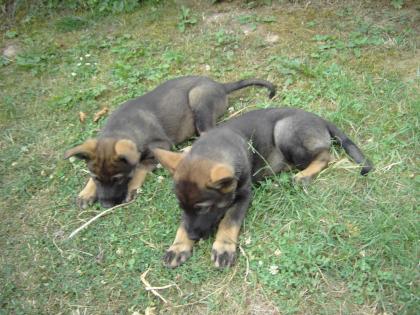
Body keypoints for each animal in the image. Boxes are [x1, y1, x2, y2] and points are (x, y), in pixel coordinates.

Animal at [65, 76, 276, 210]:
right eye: (96, 178)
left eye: (118, 179)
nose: (106, 206)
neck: (122, 127)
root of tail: (220, 85)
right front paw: (86, 192)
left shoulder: (160, 145)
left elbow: (140, 166)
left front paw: (133, 187)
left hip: (198, 100)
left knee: (206, 132)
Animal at [153, 107, 372, 268]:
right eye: (181, 206)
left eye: (205, 208)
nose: (192, 236)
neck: (215, 147)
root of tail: (320, 119)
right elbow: (183, 222)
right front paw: (179, 246)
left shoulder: (243, 195)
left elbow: (229, 221)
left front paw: (223, 247)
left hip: (284, 131)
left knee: (326, 155)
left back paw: (302, 176)